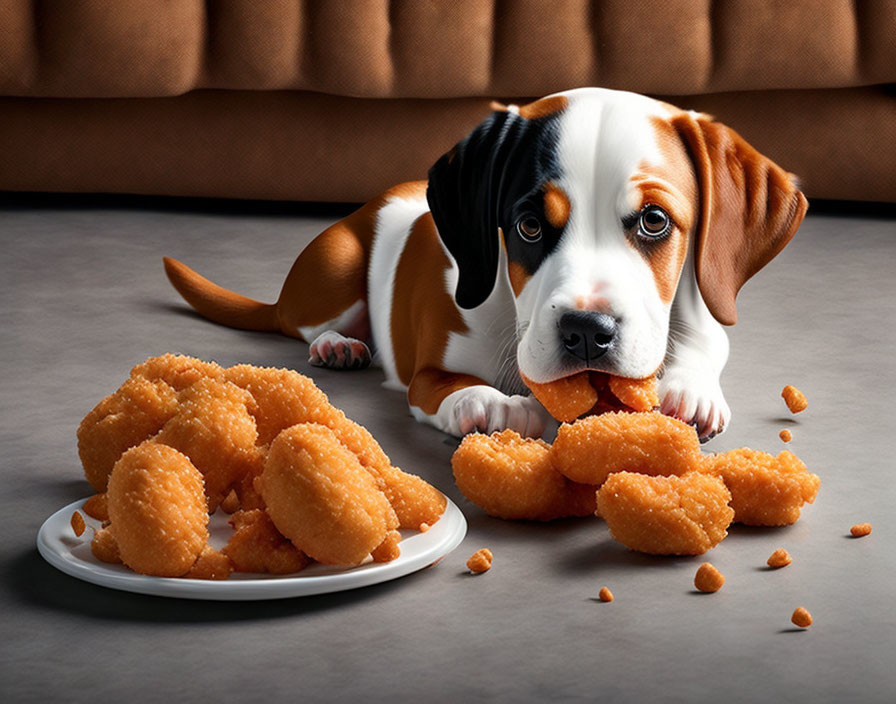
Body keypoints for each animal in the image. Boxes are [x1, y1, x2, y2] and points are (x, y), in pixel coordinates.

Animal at [163, 86, 812, 440]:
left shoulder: (704, 309)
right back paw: (337, 343)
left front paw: (688, 388)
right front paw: (491, 404)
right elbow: (450, 387)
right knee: (306, 324)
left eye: (654, 221)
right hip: (338, 262)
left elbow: (705, 342)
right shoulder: (428, 373)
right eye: (528, 227)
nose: (586, 332)